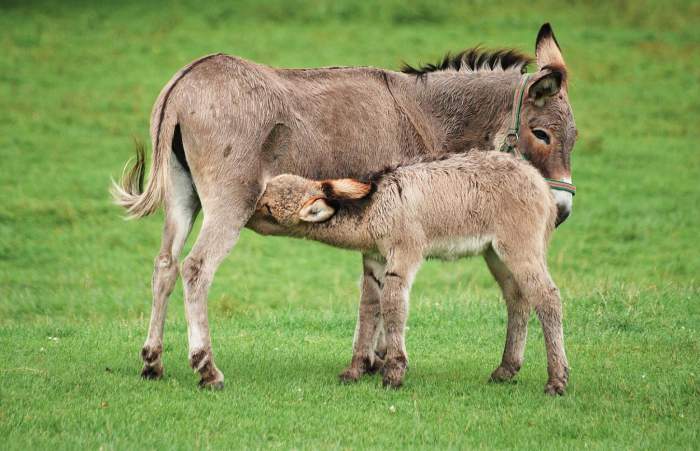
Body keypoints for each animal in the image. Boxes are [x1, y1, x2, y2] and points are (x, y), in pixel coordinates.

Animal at [252, 151, 568, 396]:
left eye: (267, 207)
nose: (246, 211)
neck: (375, 207)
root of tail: (540, 182)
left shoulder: (403, 254)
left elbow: (393, 305)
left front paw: (394, 373)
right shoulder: (375, 261)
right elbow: (369, 309)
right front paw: (354, 370)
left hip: (519, 247)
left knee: (547, 299)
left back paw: (557, 380)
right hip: (496, 254)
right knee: (518, 300)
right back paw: (506, 369)